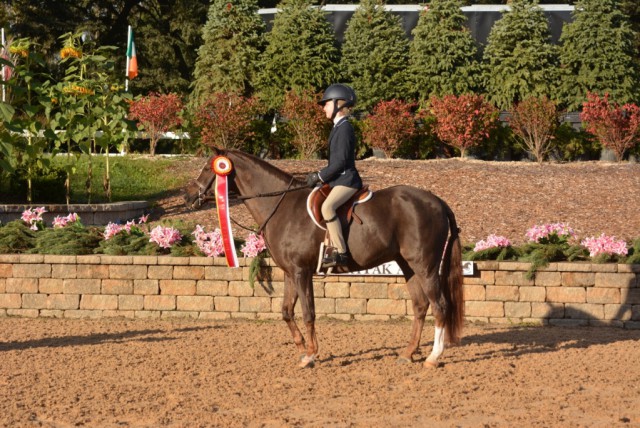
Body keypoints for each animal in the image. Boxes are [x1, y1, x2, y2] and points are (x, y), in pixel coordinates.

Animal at [182, 149, 462, 370]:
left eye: (208, 167)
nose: (187, 197)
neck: (281, 206)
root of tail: (437, 201)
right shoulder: (289, 273)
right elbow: (286, 311)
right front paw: (302, 350)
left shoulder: (301, 271)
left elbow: (308, 313)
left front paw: (311, 355)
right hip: (407, 266)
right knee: (420, 306)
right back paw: (407, 354)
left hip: (425, 266)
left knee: (439, 306)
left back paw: (433, 358)